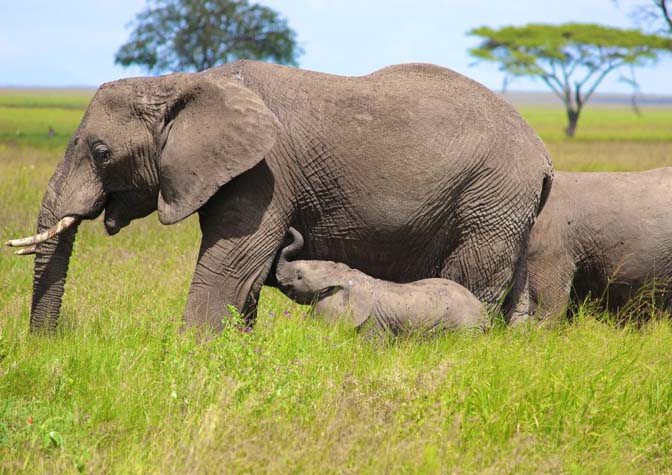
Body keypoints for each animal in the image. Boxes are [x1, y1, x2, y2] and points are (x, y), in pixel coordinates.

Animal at [276, 228, 486, 334]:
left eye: (299, 276)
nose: (289, 229)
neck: (348, 276)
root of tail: (486, 318)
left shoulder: (373, 323)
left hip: (465, 328)